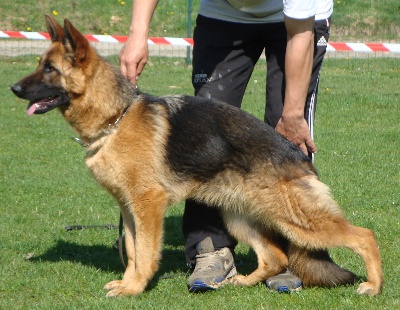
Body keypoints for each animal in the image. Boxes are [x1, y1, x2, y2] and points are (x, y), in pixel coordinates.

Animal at [10, 15, 382, 296]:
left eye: (49, 69)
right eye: (40, 65)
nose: (13, 89)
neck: (115, 117)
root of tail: (297, 154)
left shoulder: (148, 206)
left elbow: (145, 253)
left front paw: (134, 289)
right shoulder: (129, 210)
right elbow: (131, 251)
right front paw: (128, 283)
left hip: (298, 220)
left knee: (364, 235)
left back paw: (373, 286)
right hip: (238, 216)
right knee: (275, 256)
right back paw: (242, 282)